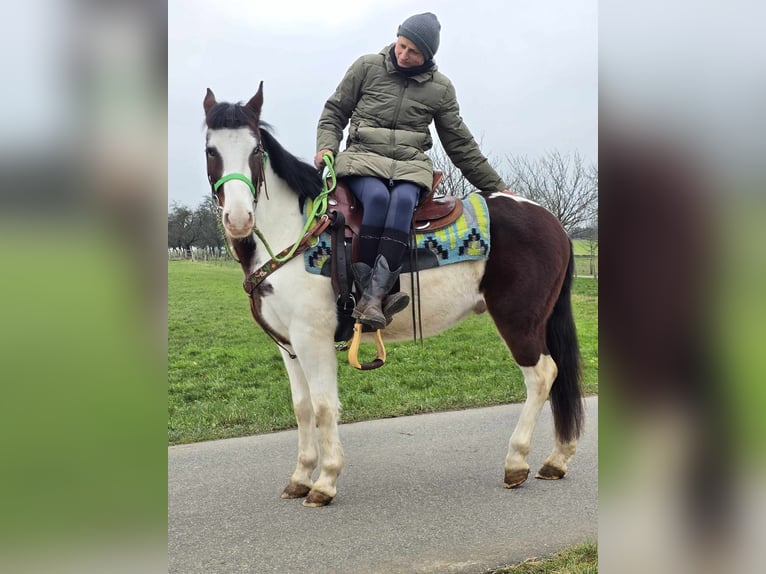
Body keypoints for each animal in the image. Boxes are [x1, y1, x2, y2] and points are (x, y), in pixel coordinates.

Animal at [201, 82, 584, 508]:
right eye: (211, 150)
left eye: (255, 150)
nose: (238, 218)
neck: (297, 231)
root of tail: (551, 221)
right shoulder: (289, 344)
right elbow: (302, 408)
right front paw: (300, 476)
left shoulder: (313, 337)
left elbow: (323, 407)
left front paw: (325, 481)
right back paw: (556, 459)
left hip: (519, 320)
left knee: (542, 375)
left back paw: (516, 462)